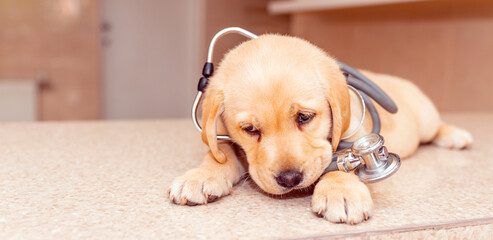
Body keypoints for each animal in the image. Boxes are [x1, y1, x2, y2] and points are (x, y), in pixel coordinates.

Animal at [167, 34, 470, 224]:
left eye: (304, 117)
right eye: (250, 128)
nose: (290, 179)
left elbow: (343, 159)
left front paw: (341, 191)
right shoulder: (224, 137)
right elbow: (220, 152)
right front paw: (202, 175)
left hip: (426, 120)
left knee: (437, 127)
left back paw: (456, 136)